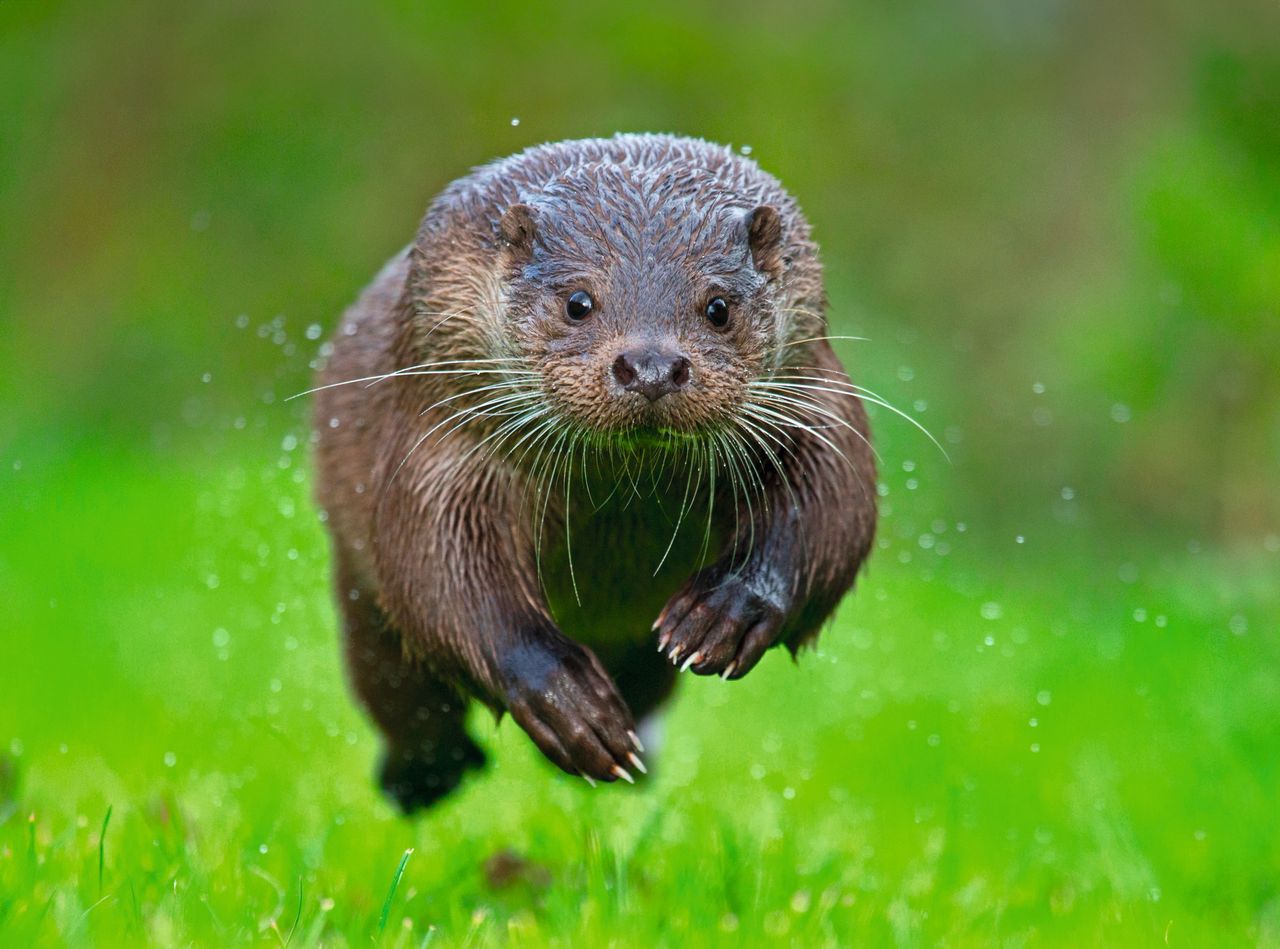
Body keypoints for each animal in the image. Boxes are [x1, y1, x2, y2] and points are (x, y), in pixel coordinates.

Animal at [314, 133, 880, 809]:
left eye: (717, 306)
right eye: (578, 302)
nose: (652, 365)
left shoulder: (813, 404)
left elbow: (830, 509)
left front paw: (725, 613)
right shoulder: (443, 449)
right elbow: (442, 574)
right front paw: (567, 703)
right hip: (359, 603)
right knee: (396, 684)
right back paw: (426, 775)